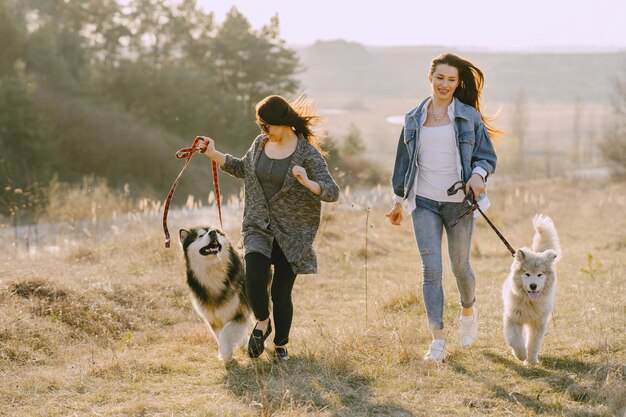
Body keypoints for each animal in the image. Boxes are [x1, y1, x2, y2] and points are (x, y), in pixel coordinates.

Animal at [502, 214, 560, 364]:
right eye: (527, 274)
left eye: (540, 274)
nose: (533, 285)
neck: (530, 302)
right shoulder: (512, 319)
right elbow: (515, 340)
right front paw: (521, 355)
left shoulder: (538, 323)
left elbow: (533, 343)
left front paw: (531, 361)